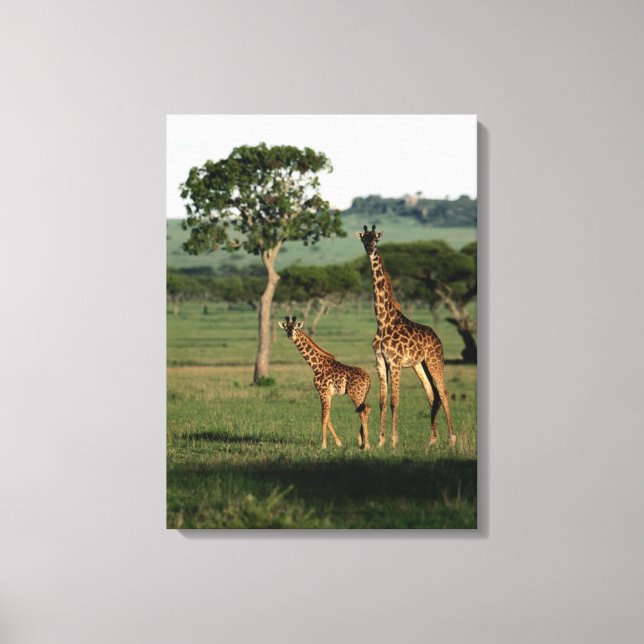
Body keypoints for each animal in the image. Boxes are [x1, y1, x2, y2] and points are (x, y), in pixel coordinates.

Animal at [278, 316, 371, 449]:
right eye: (286, 328)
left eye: (295, 328)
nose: (290, 335)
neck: (316, 366)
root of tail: (369, 379)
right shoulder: (328, 394)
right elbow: (328, 417)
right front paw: (339, 443)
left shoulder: (322, 392)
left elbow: (323, 417)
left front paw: (323, 445)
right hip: (362, 395)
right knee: (366, 409)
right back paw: (362, 442)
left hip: (355, 394)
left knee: (363, 412)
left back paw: (366, 445)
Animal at [357, 225, 456, 448]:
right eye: (364, 239)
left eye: (376, 239)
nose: (369, 249)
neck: (382, 321)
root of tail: (437, 338)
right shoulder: (380, 362)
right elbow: (382, 401)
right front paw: (380, 441)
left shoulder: (395, 362)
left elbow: (395, 401)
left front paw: (393, 441)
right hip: (420, 364)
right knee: (432, 394)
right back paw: (432, 440)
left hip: (435, 361)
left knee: (443, 392)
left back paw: (452, 439)